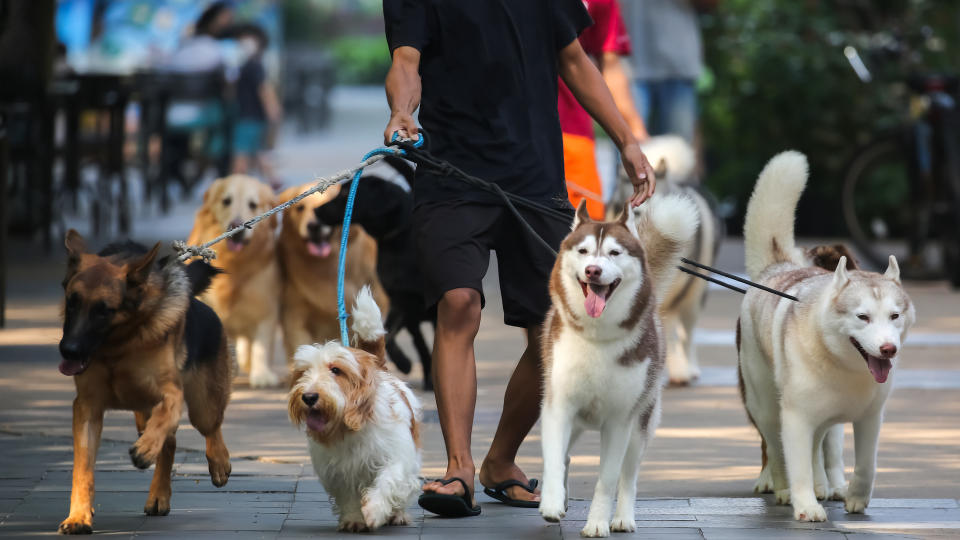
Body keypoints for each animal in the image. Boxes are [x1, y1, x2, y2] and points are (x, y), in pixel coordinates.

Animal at [284, 286, 420, 532]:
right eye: (303, 372)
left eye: (336, 370)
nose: (309, 397)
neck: (347, 428)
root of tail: (380, 367)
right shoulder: (338, 473)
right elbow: (348, 497)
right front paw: (355, 520)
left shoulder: (395, 459)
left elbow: (387, 482)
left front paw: (374, 510)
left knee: (405, 488)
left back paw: (397, 514)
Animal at [316, 154, 436, 390]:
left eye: (345, 194)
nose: (317, 210)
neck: (398, 244)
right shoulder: (403, 305)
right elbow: (397, 340)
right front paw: (405, 363)